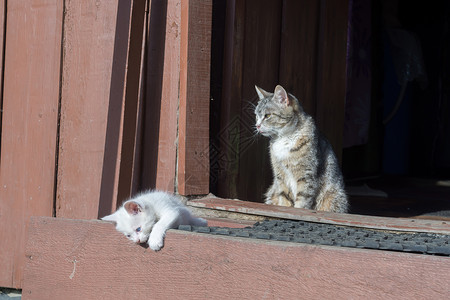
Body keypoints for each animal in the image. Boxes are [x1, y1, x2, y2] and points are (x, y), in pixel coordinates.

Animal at [255, 84, 346, 213]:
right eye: (256, 116)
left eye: (267, 116)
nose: (257, 125)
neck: (284, 138)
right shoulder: (280, 176)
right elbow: (283, 197)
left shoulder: (307, 175)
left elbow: (302, 200)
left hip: (334, 196)